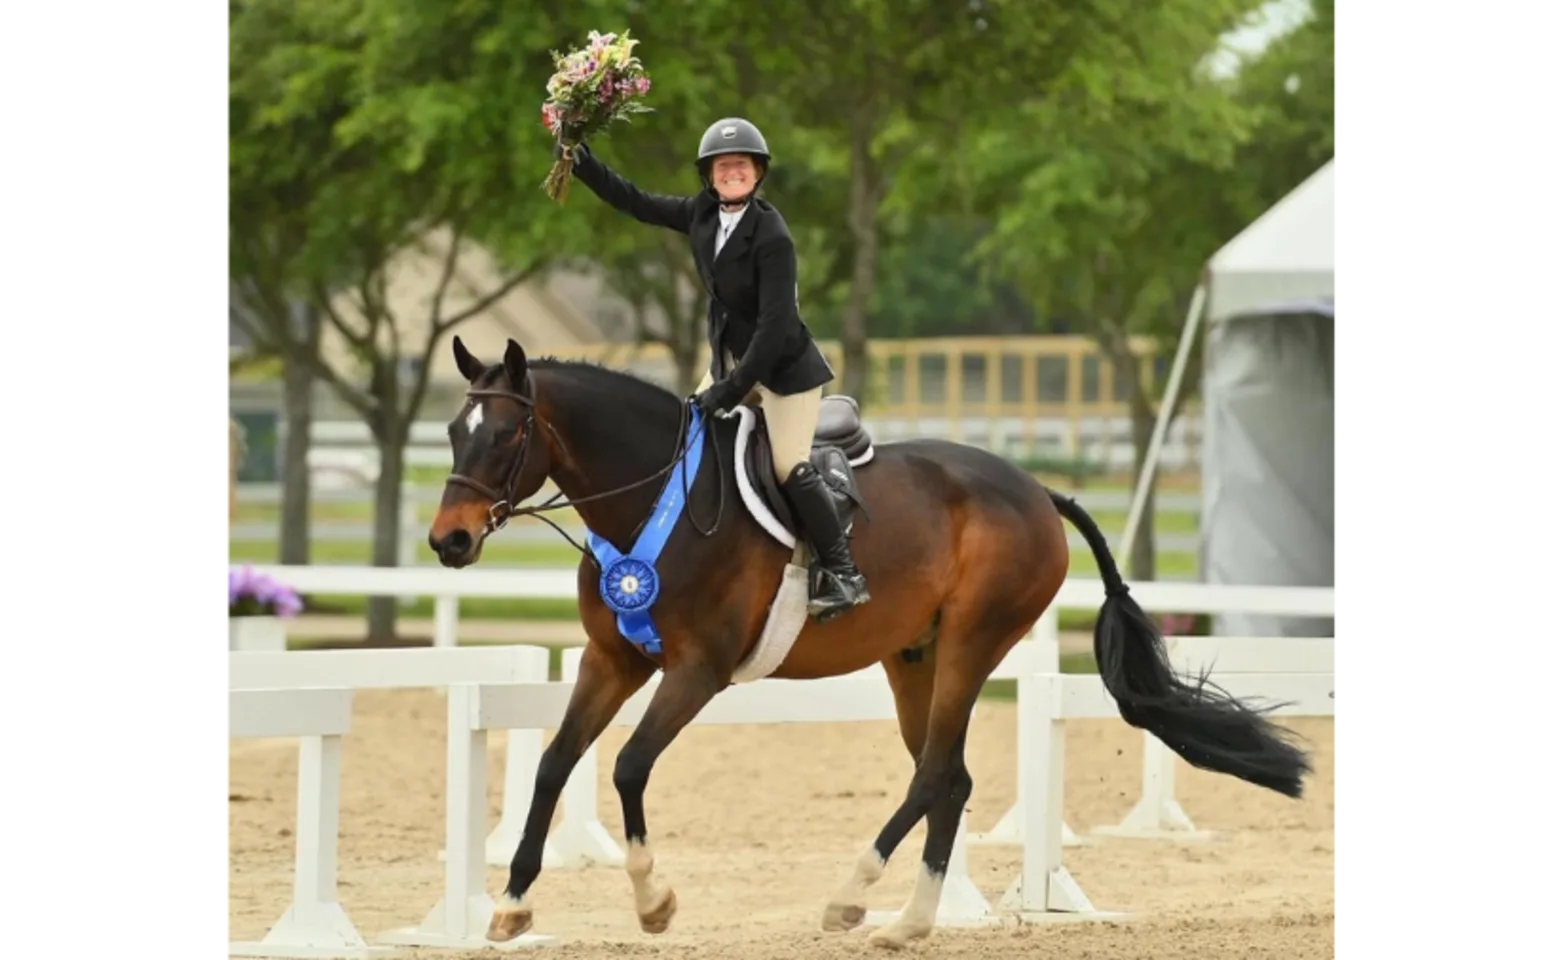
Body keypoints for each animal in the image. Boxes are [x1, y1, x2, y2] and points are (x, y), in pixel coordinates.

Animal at [425, 336, 1307, 950]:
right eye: (453, 431)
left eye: (505, 437)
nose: (448, 542)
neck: (651, 498)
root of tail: (1035, 489)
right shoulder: (613, 661)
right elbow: (553, 763)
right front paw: (511, 907)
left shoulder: (696, 671)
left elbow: (630, 766)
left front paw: (654, 902)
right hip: (912, 657)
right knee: (949, 778)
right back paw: (909, 922)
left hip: (971, 644)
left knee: (935, 774)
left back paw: (853, 897)